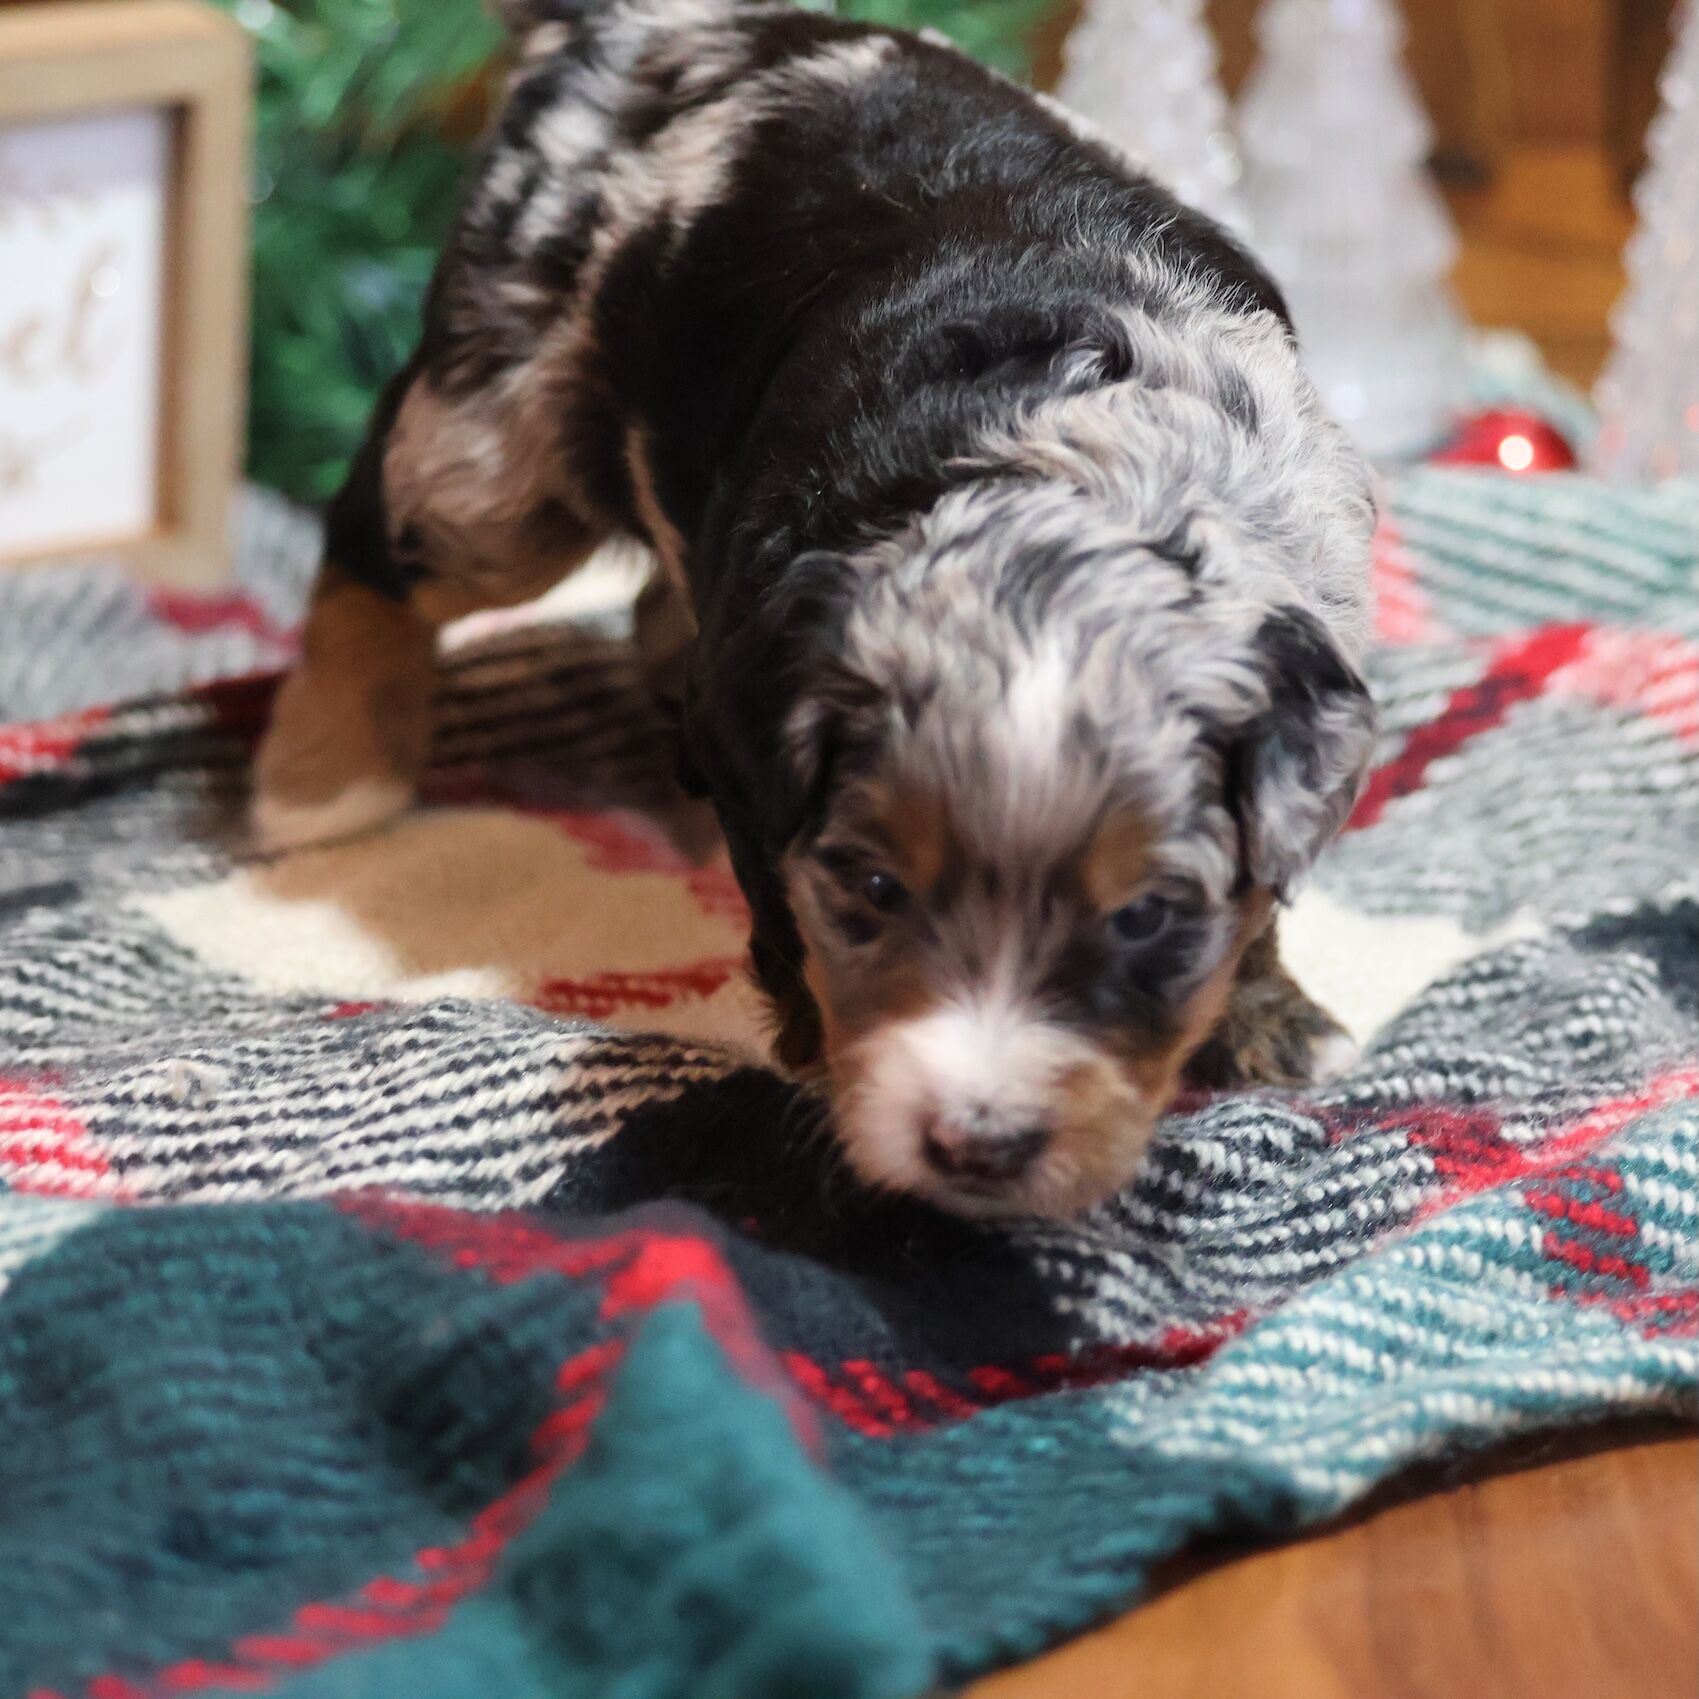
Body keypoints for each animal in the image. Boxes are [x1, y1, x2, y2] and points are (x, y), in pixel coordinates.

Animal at [252, 0, 1379, 1220]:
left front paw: (1272, 1017)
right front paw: (807, 1046)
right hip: (501, 433)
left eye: (1144, 917)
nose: (976, 1142)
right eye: (875, 887)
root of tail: (632, 21)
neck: (1078, 477)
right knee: (374, 538)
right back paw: (318, 790)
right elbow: (780, 905)